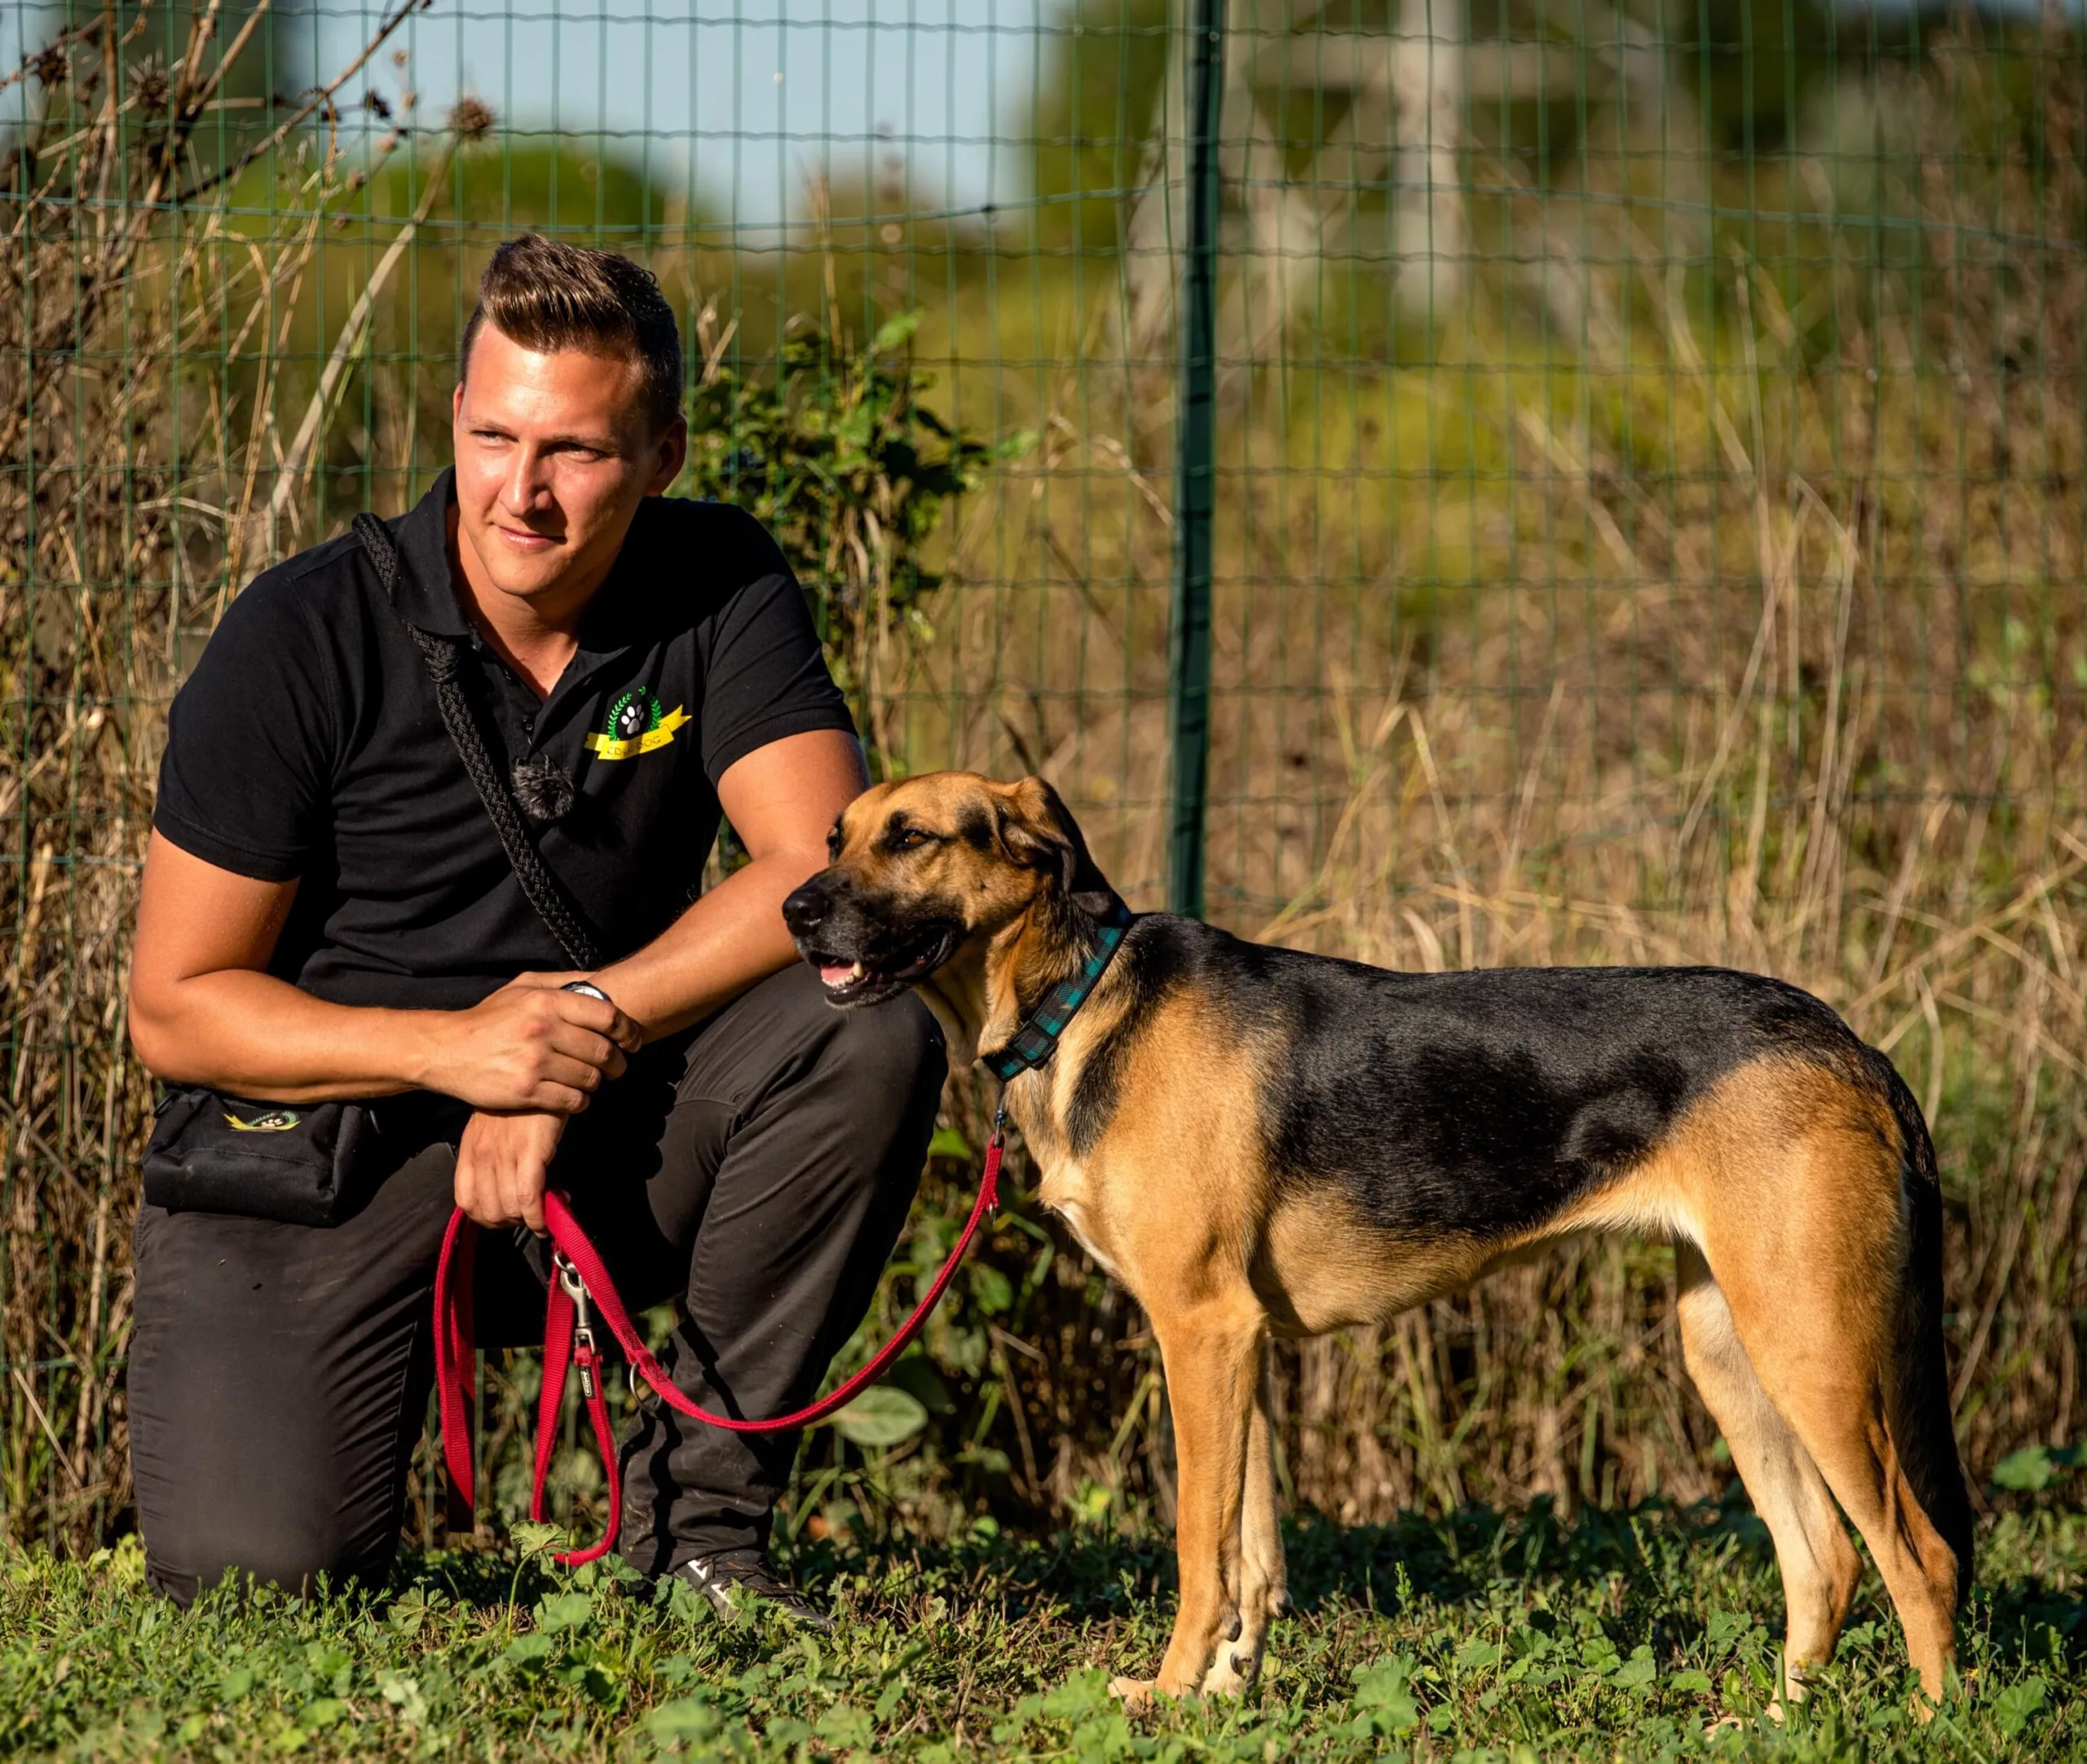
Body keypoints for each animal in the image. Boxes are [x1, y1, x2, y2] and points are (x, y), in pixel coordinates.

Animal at [780, 772, 1970, 1703]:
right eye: (836, 834)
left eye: (911, 837)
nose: (792, 909)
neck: (1079, 1001)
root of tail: (1851, 1044)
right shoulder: (1239, 1346)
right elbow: (1253, 1553)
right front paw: (1226, 1696)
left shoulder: (1199, 1331)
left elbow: (1201, 1550)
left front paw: (1167, 1695)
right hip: (1729, 1346)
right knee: (1824, 1560)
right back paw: (1780, 1721)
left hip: (1811, 1349)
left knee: (1920, 1556)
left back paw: (1928, 1722)